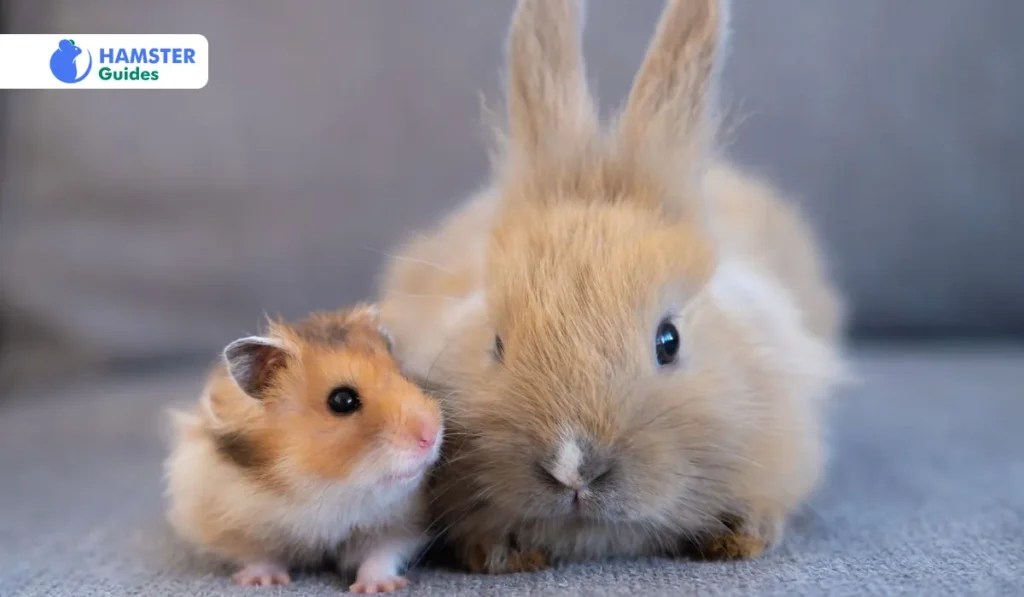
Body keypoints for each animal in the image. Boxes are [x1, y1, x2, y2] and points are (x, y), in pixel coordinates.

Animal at [164, 304, 442, 593]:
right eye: (342, 400)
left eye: (404, 375)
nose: (431, 436)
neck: (322, 486)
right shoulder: (232, 521)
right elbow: (259, 555)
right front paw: (263, 581)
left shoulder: (395, 522)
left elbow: (380, 555)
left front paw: (379, 587)